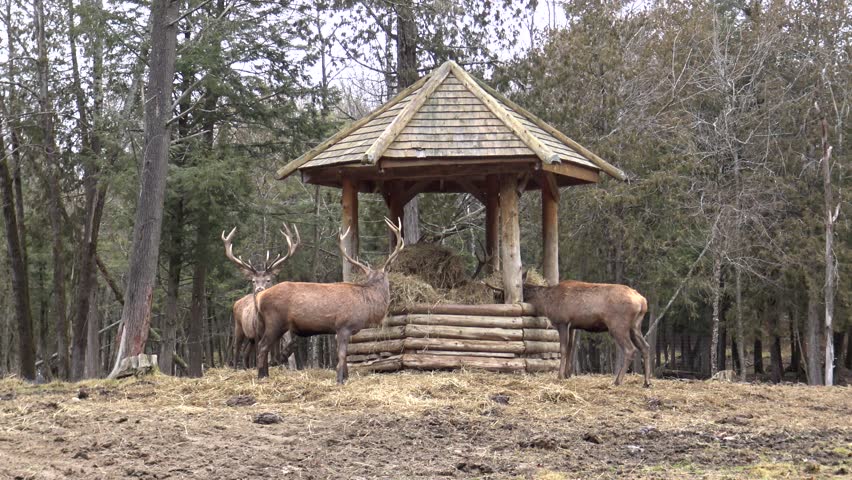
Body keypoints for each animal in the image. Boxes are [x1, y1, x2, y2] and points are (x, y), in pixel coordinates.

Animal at [221, 223, 302, 370]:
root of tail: (236, 302)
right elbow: (263, 351)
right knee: (237, 349)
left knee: (246, 352)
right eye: (253, 281)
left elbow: (275, 351)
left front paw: (275, 363)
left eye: (268, 280)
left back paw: (247, 367)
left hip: (250, 337)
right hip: (239, 327)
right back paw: (236, 368)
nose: (259, 289)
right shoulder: (257, 331)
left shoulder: (277, 331)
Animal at [255, 219, 404, 384]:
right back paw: (261, 377)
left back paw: (265, 375)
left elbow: (344, 356)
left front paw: (346, 377)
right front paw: (339, 380)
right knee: (262, 346)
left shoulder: (339, 330)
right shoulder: (344, 326)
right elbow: (342, 355)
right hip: (275, 321)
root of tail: (259, 297)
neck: (366, 304)